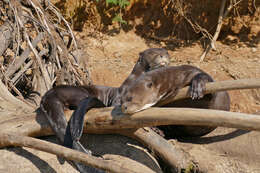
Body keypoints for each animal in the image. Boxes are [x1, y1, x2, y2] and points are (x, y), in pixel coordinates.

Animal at [40, 47, 171, 173]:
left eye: (166, 52)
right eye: (153, 52)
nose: (163, 55)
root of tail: (48, 94)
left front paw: (157, 129)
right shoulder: (120, 98)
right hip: (80, 92)